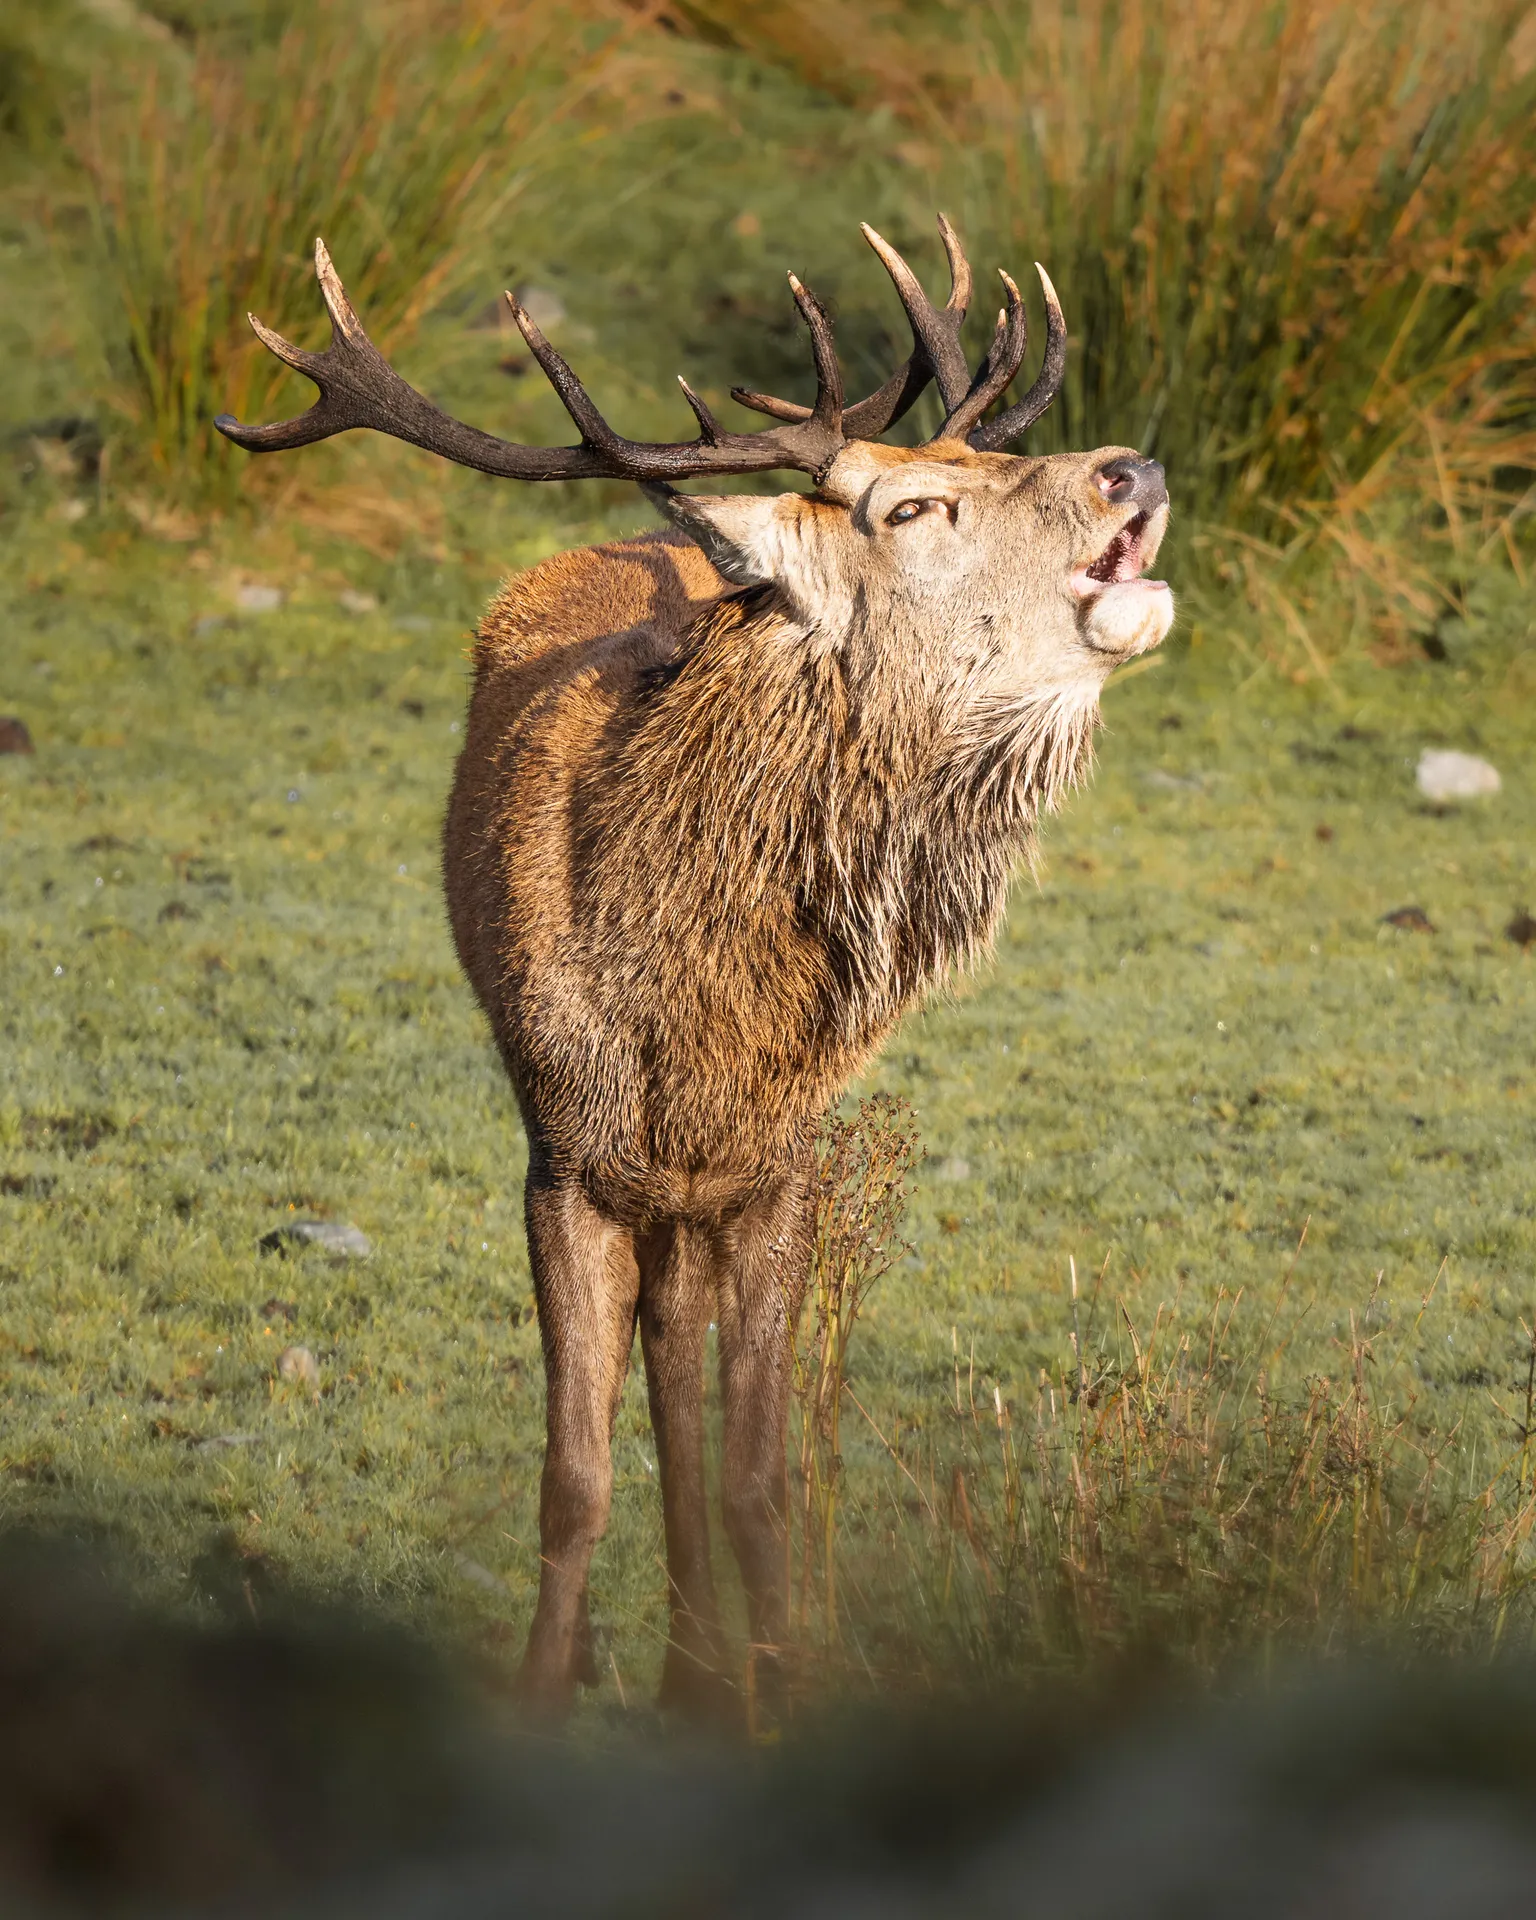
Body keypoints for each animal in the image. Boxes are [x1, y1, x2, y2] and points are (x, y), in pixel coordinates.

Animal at [216, 216, 1173, 1719]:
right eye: (913, 510)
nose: (1130, 466)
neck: (693, 1005)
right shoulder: (559, 1156)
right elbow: (573, 1479)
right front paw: (544, 1690)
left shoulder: (778, 1167)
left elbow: (761, 1479)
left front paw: (774, 1687)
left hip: (701, 1192)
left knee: (678, 1360)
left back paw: (698, 1674)